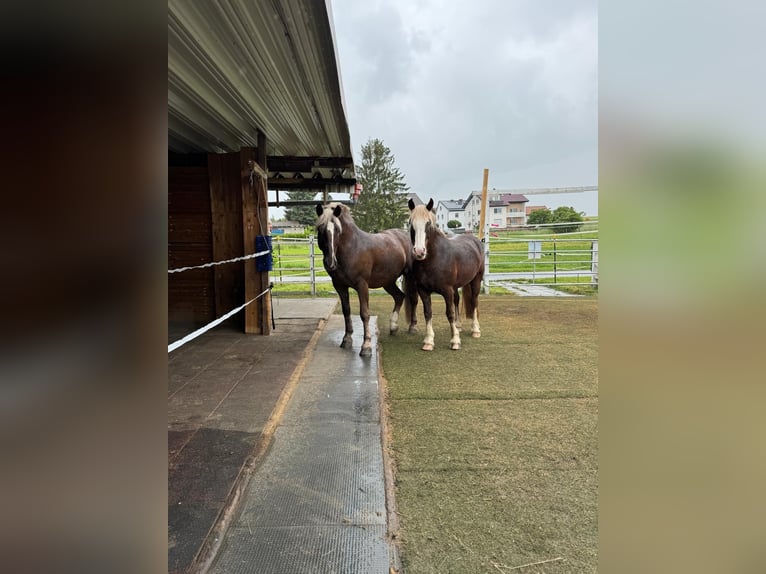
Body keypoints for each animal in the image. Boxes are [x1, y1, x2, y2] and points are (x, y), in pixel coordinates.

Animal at [316, 202, 416, 356]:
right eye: (320, 228)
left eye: (337, 230)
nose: (330, 262)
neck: (352, 248)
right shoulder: (339, 285)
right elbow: (346, 311)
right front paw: (347, 339)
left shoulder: (361, 285)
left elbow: (364, 313)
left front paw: (366, 346)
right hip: (388, 281)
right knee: (399, 296)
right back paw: (393, 327)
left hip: (411, 278)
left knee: (414, 299)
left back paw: (412, 327)